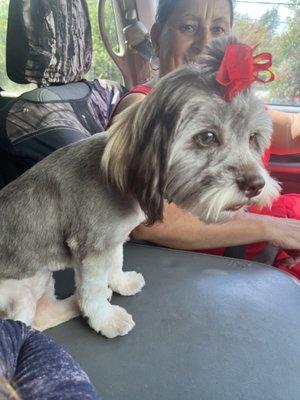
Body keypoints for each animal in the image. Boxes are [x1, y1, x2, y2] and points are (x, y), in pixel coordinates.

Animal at [0, 37, 278, 338]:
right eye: (207, 137)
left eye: (253, 138)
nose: (256, 184)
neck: (118, 181)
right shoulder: (92, 248)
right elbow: (92, 291)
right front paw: (105, 319)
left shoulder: (113, 239)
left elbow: (116, 262)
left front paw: (120, 283)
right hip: (18, 293)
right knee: (29, 322)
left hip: (40, 279)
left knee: (43, 315)